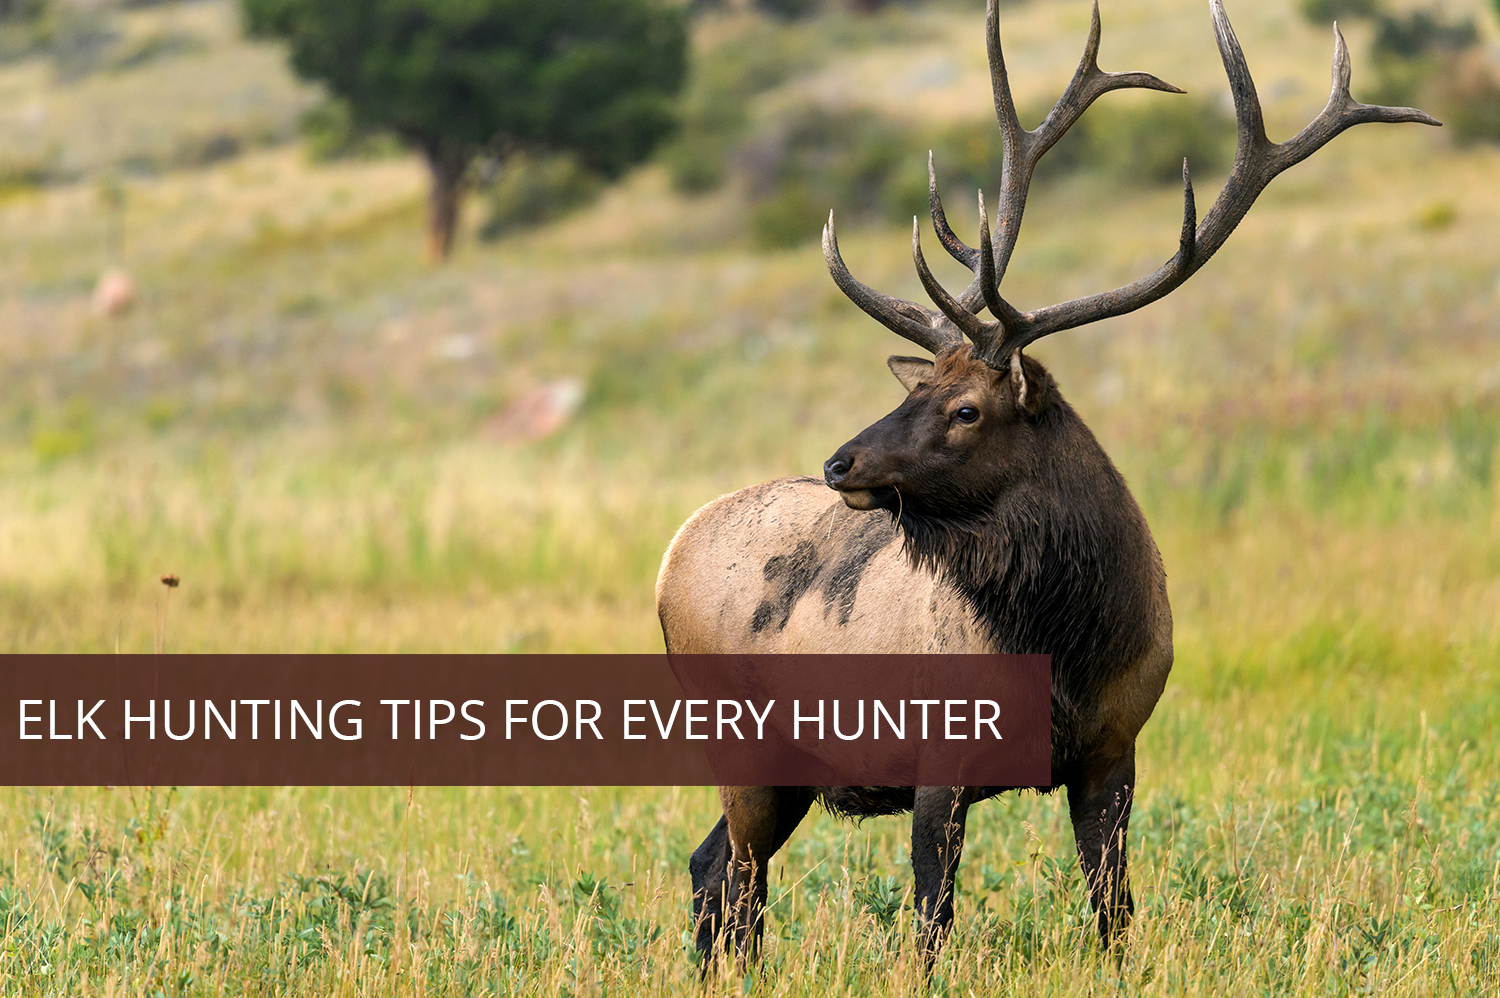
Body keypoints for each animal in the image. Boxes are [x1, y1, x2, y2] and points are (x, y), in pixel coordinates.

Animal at [660, 0, 1440, 966]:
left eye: (964, 408)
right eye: (914, 388)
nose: (841, 462)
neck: (1067, 647)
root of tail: (672, 551)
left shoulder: (1115, 748)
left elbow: (1114, 909)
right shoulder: (938, 763)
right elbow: (931, 918)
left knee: (710, 868)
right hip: (739, 746)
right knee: (736, 876)